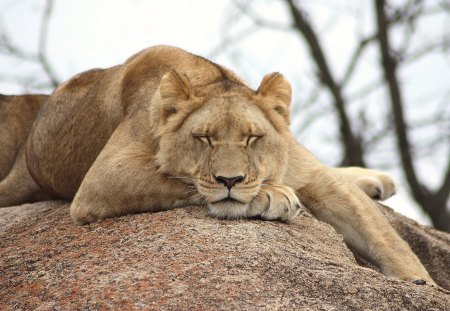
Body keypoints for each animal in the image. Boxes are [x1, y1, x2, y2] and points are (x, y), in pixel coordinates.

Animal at [0, 45, 436, 286]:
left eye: (252, 138)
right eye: (204, 138)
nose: (230, 178)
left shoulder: (314, 177)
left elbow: (386, 240)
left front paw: (422, 284)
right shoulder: (102, 178)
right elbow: (182, 179)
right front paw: (271, 196)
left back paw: (376, 179)